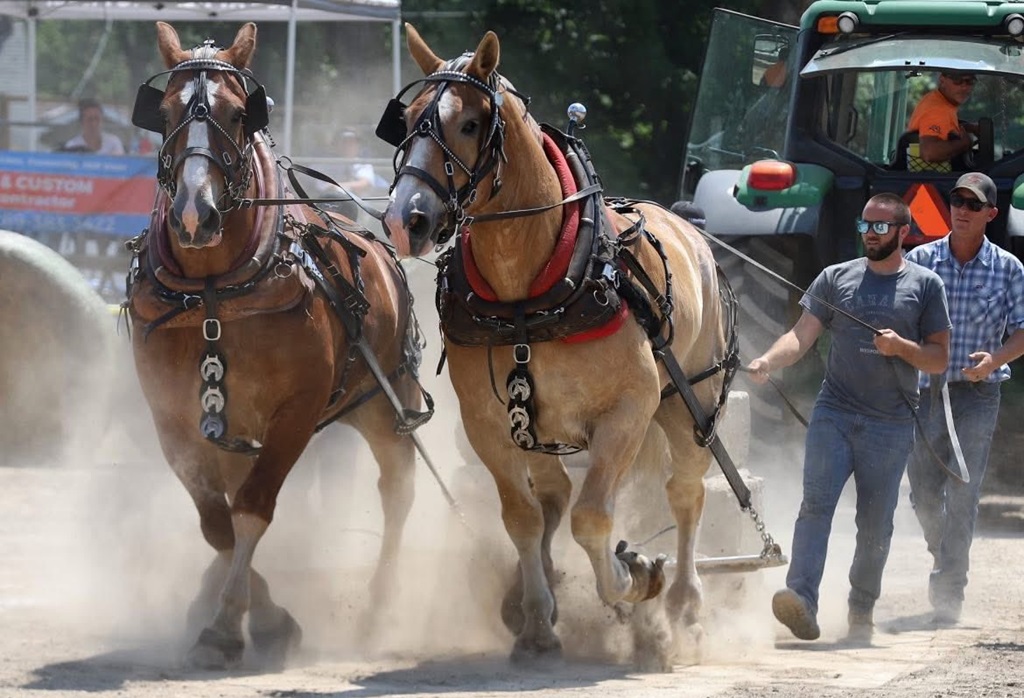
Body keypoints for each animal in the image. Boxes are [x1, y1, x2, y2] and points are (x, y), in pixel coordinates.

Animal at [125, 22, 427, 669]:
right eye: (164, 114)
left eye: (239, 114)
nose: (194, 214)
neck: (214, 292)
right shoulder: (175, 420)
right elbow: (218, 523)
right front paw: (241, 612)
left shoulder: (296, 413)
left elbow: (253, 508)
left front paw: (237, 624)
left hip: (384, 404)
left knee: (398, 491)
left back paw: (380, 604)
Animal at [380, 26, 739, 671]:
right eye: (413, 118)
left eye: (469, 123)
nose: (405, 221)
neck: (528, 295)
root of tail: (690, 230)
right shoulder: (488, 425)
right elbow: (523, 518)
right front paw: (538, 624)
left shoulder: (628, 411)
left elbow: (594, 519)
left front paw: (635, 580)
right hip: (541, 431)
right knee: (555, 496)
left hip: (687, 405)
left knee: (685, 493)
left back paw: (681, 607)